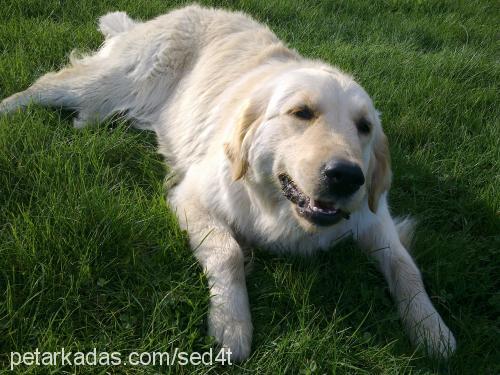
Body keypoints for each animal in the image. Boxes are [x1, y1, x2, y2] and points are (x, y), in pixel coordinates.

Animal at [0, 2, 456, 362]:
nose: (346, 176)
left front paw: (432, 328)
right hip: (109, 82)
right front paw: (231, 326)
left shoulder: (374, 218)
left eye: (364, 127)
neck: (279, 209)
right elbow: (227, 251)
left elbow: (406, 268)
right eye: (302, 113)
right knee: (43, 86)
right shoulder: (191, 196)